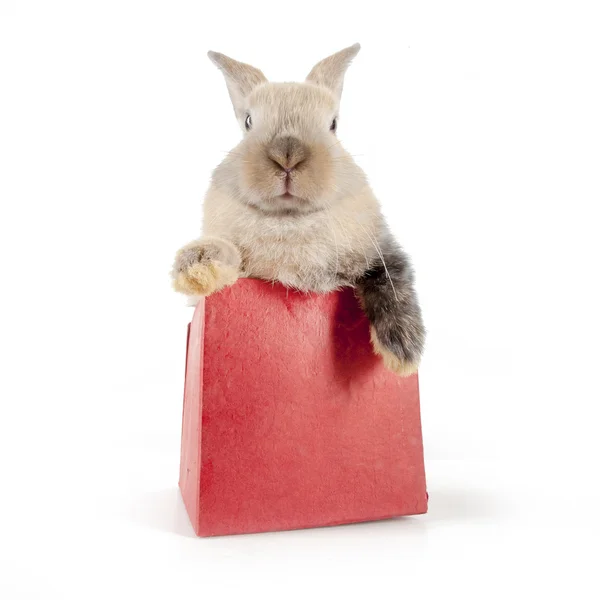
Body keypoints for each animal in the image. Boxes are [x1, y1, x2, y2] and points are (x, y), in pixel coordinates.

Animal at [172, 44, 426, 378]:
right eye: (249, 121)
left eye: (333, 124)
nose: (287, 154)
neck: (289, 220)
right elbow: (226, 254)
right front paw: (198, 266)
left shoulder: (383, 252)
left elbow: (393, 282)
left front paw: (403, 354)